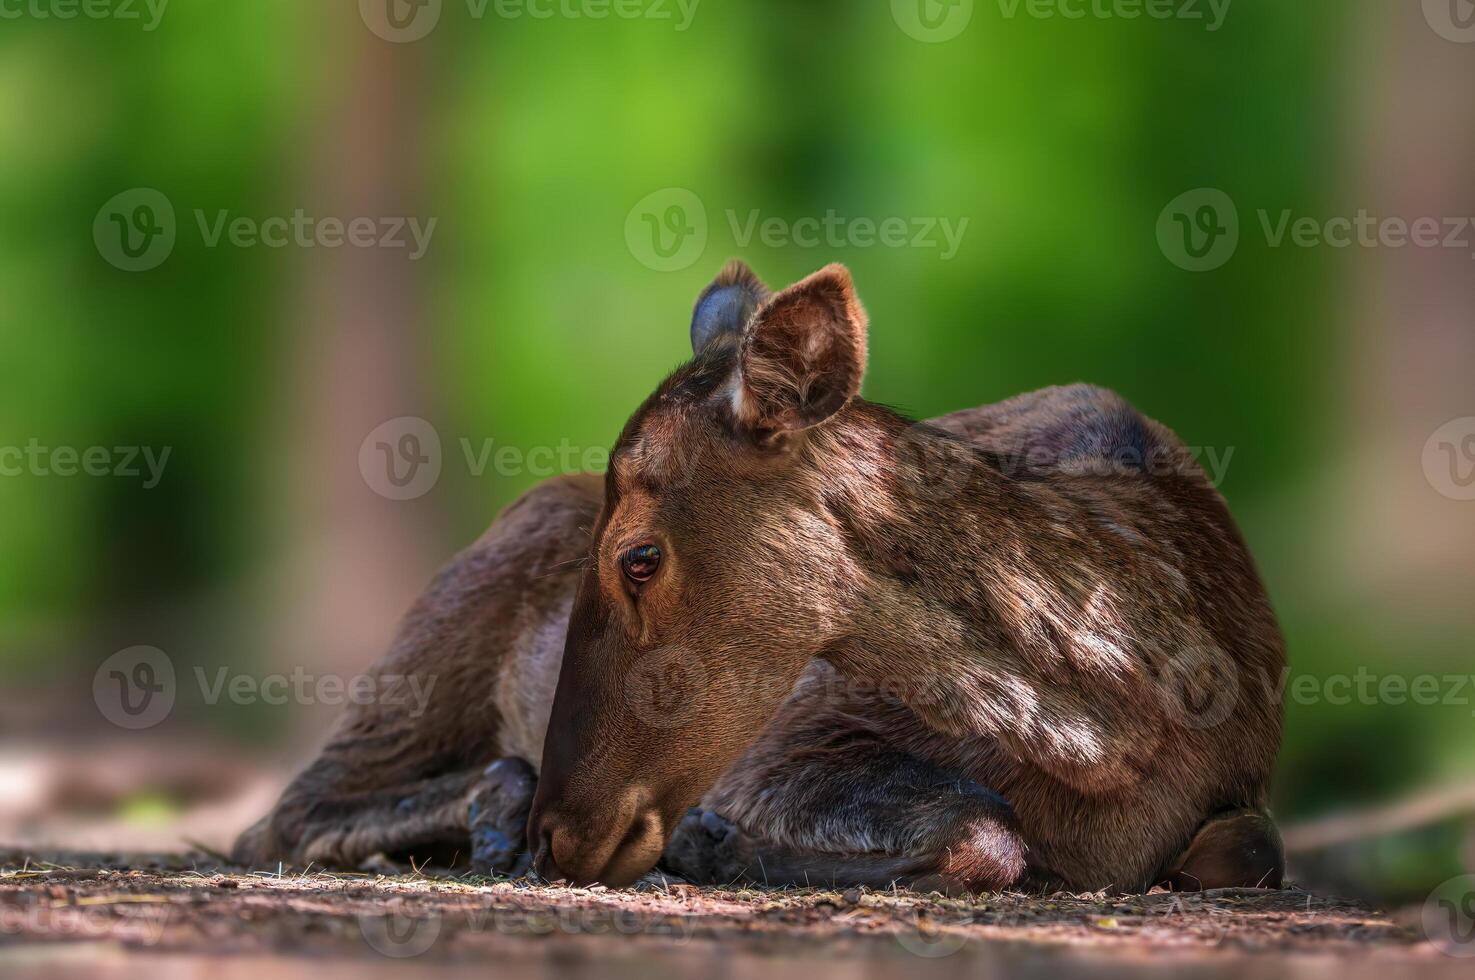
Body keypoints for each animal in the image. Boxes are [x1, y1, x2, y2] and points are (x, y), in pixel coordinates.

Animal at [236, 262, 1286, 897]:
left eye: (639, 555)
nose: (559, 835)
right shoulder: (797, 732)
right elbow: (986, 829)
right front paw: (712, 840)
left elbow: (1250, 844)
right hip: (439, 633)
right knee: (282, 812)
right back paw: (495, 813)